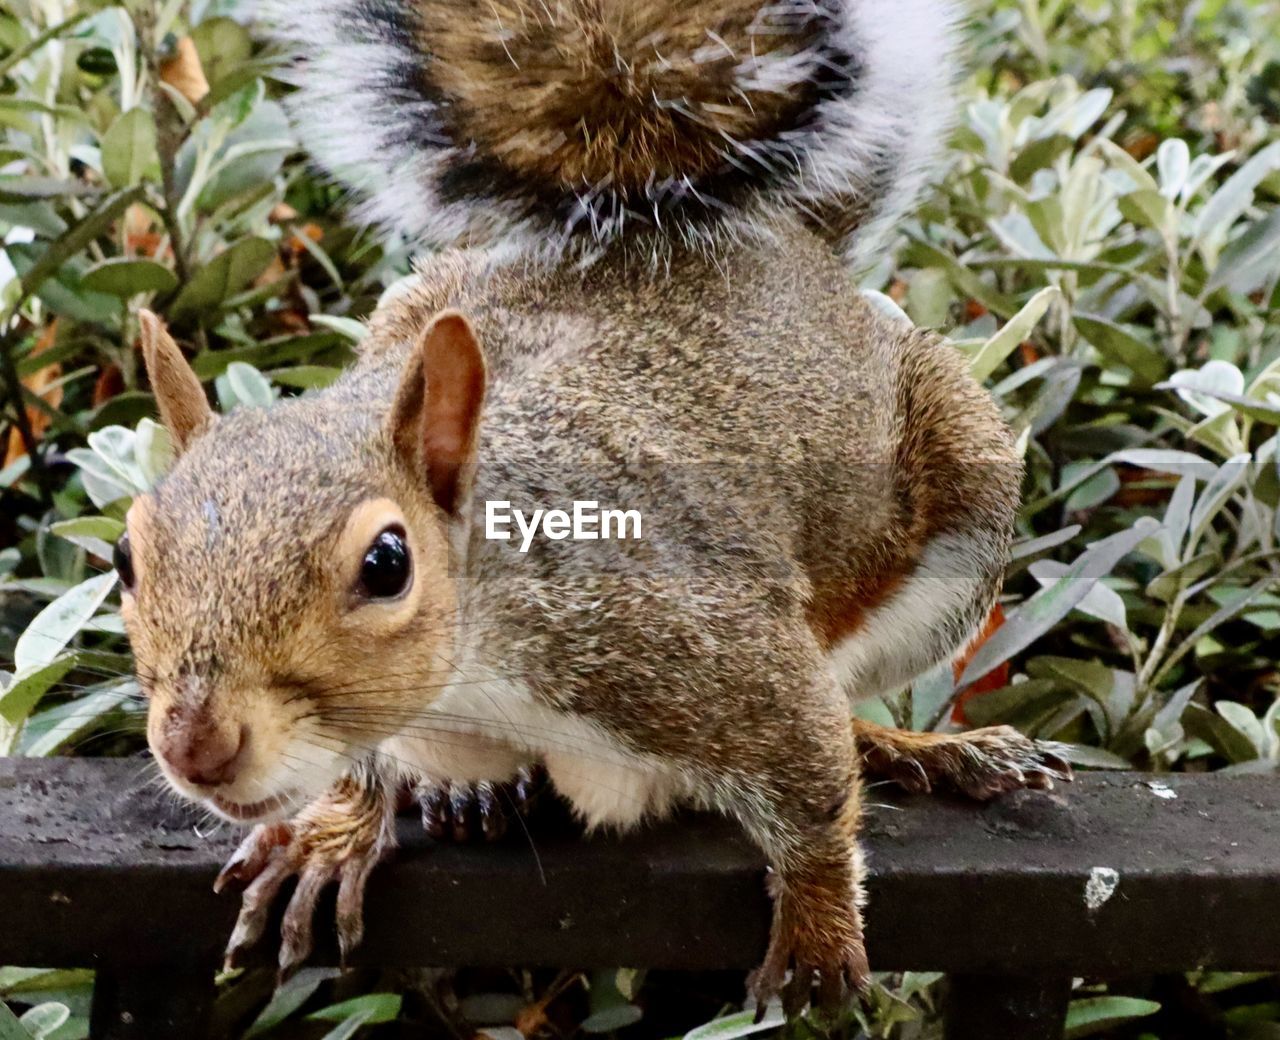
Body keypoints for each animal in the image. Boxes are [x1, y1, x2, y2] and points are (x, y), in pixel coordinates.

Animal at [115, 0, 1070, 1019]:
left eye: (386, 564)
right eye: (126, 558)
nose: (197, 745)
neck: (477, 672)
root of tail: (795, 252)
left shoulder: (693, 643)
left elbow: (811, 775)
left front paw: (816, 930)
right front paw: (332, 832)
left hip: (960, 492)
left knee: (849, 701)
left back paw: (929, 750)